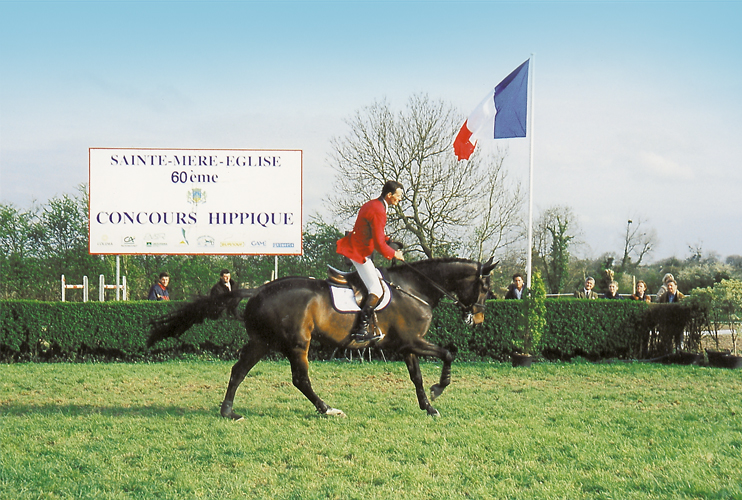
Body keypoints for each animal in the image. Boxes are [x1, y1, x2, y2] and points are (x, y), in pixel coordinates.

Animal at [147, 258, 496, 418]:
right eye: (485, 288)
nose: (478, 319)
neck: (416, 289)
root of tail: (259, 289)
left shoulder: (407, 345)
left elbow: (417, 377)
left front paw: (428, 405)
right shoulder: (412, 342)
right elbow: (447, 354)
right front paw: (439, 390)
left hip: (263, 342)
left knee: (239, 370)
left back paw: (228, 411)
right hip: (297, 343)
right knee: (300, 379)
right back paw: (327, 409)